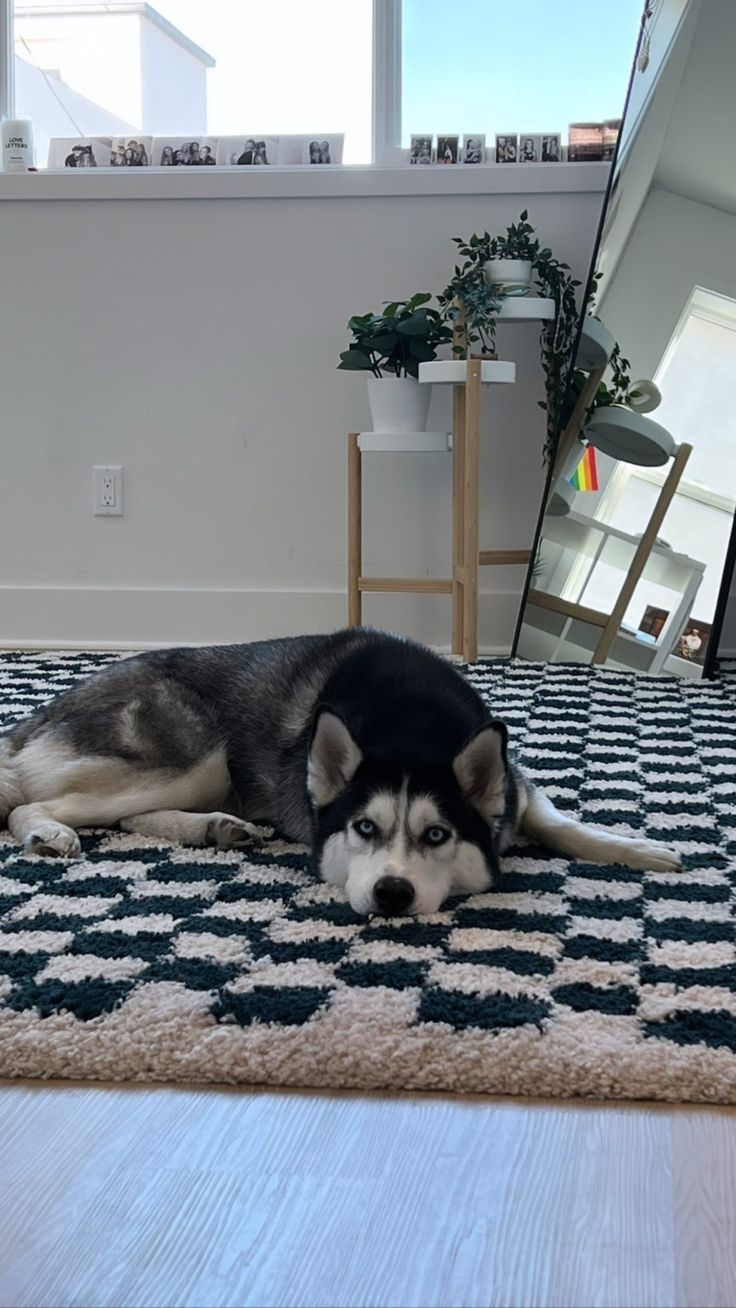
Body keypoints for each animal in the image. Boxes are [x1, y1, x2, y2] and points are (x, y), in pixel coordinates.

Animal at [0, 627, 685, 915]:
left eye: (438, 835)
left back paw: (217, 828)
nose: (392, 893)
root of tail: (51, 705)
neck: (410, 724)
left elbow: (560, 823)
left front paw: (637, 849)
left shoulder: (513, 788)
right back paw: (47, 831)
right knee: (30, 802)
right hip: (197, 753)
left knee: (130, 815)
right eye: (364, 829)